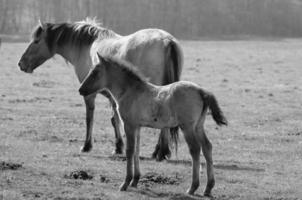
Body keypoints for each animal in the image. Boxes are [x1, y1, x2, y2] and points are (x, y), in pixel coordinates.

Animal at [18, 18, 184, 160]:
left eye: (36, 41)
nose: (21, 63)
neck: (87, 45)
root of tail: (167, 41)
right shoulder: (113, 95)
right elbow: (114, 119)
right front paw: (118, 147)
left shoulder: (90, 93)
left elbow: (89, 118)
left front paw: (87, 146)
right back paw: (159, 151)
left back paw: (161, 152)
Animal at [79, 54, 228, 196]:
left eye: (95, 72)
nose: (81, 90)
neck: (130, 91)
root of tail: (201, 91)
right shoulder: (137, 127)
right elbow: (137, 150)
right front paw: (135, 181)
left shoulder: (129, 125)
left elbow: (129, 150)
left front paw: (125, 183)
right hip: (198, 127)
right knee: (207, 147)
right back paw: (208, 188)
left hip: (187, 127)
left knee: (195, 149)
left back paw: (193, 188)